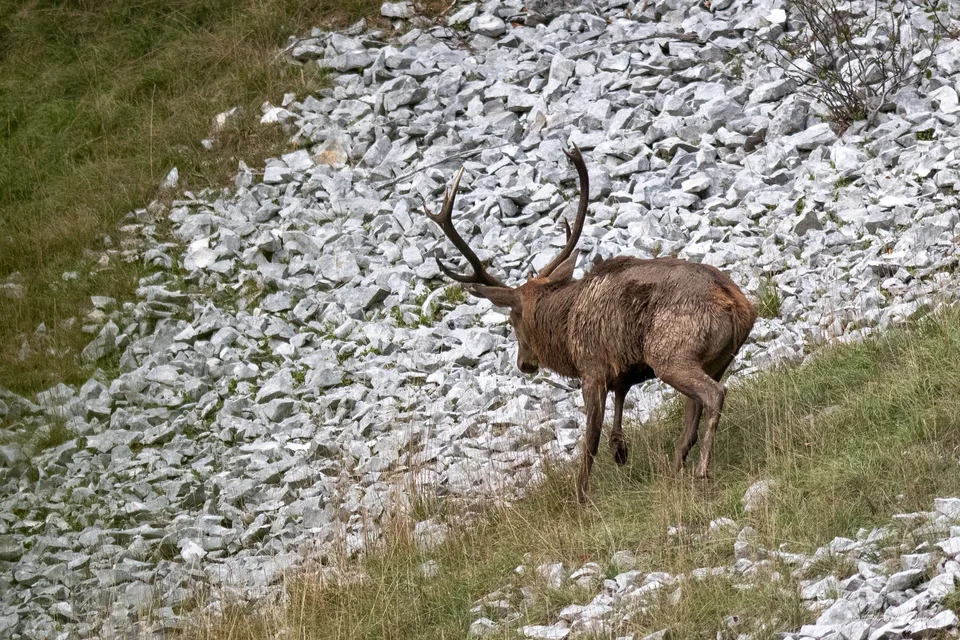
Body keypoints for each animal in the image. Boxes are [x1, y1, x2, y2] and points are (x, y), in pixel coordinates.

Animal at [422, 146, 757, 503]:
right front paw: (620, 450)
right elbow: (619, 410)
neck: (565, 332)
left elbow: (591, 439)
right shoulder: (621, 369)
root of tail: (738, 305)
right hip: (717, 360)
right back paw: (675, 468)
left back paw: (701, 469)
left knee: (712, 395)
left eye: (512, 319)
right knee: (692, 416)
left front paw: (580, 495)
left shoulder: (592, 367)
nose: (524, 363)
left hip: (671, 353)